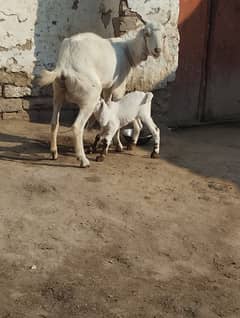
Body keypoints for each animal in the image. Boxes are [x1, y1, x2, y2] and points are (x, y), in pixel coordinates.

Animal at [38, 22, 167, 168]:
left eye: (164, 36)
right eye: (147, 34)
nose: (157, 50)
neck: (127, 50)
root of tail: (65, 64)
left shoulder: (108, 88)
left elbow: (109, 106)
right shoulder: (118, 87)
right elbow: (120, 109)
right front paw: (118, 145)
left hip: (58, 91)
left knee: (54, 122)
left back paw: (54, 152)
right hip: (89, 97)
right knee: (77, 127)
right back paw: (83, 160)